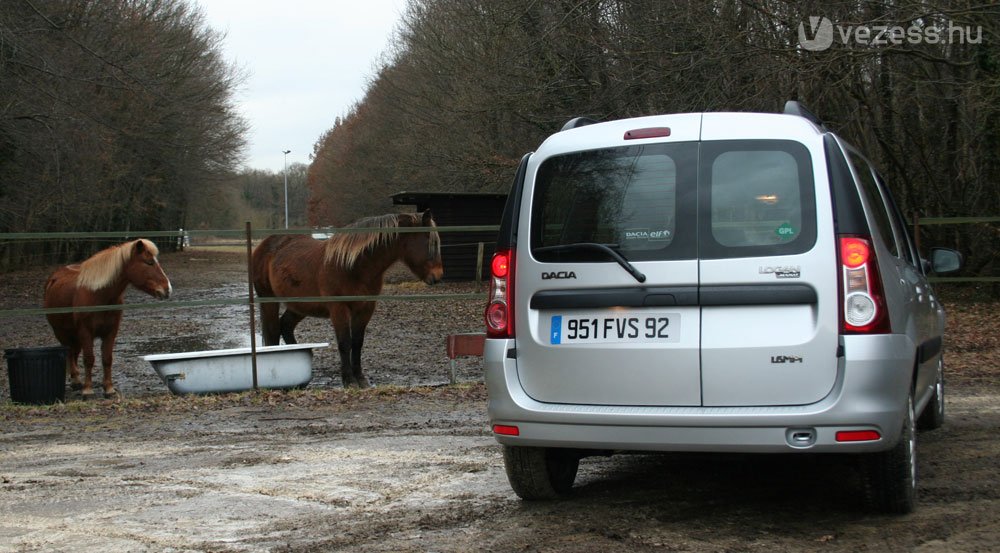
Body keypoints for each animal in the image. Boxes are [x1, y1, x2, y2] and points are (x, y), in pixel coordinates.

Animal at [43, 237, 174, 396]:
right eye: (149, 262)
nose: (167, 289)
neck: (99, 296)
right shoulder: (85, 332)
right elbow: (89, 359)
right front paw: (88, 390)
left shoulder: (111, 331)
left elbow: (107, 359)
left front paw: (109, 389)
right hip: (62, 333)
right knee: (69, 352)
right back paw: (76, 381)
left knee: (74, 353)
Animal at [254, 211, 446, 388]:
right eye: (429, 242)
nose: (437, 277)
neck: (353, 266)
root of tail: (267, 244)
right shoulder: (339, 308)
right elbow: (345, 342)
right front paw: (348, 380)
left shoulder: (365, 308)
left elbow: (357, 342)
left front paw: (360, 378)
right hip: (269, 301)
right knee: (273, 333)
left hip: (300, 306)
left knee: (286, 326)